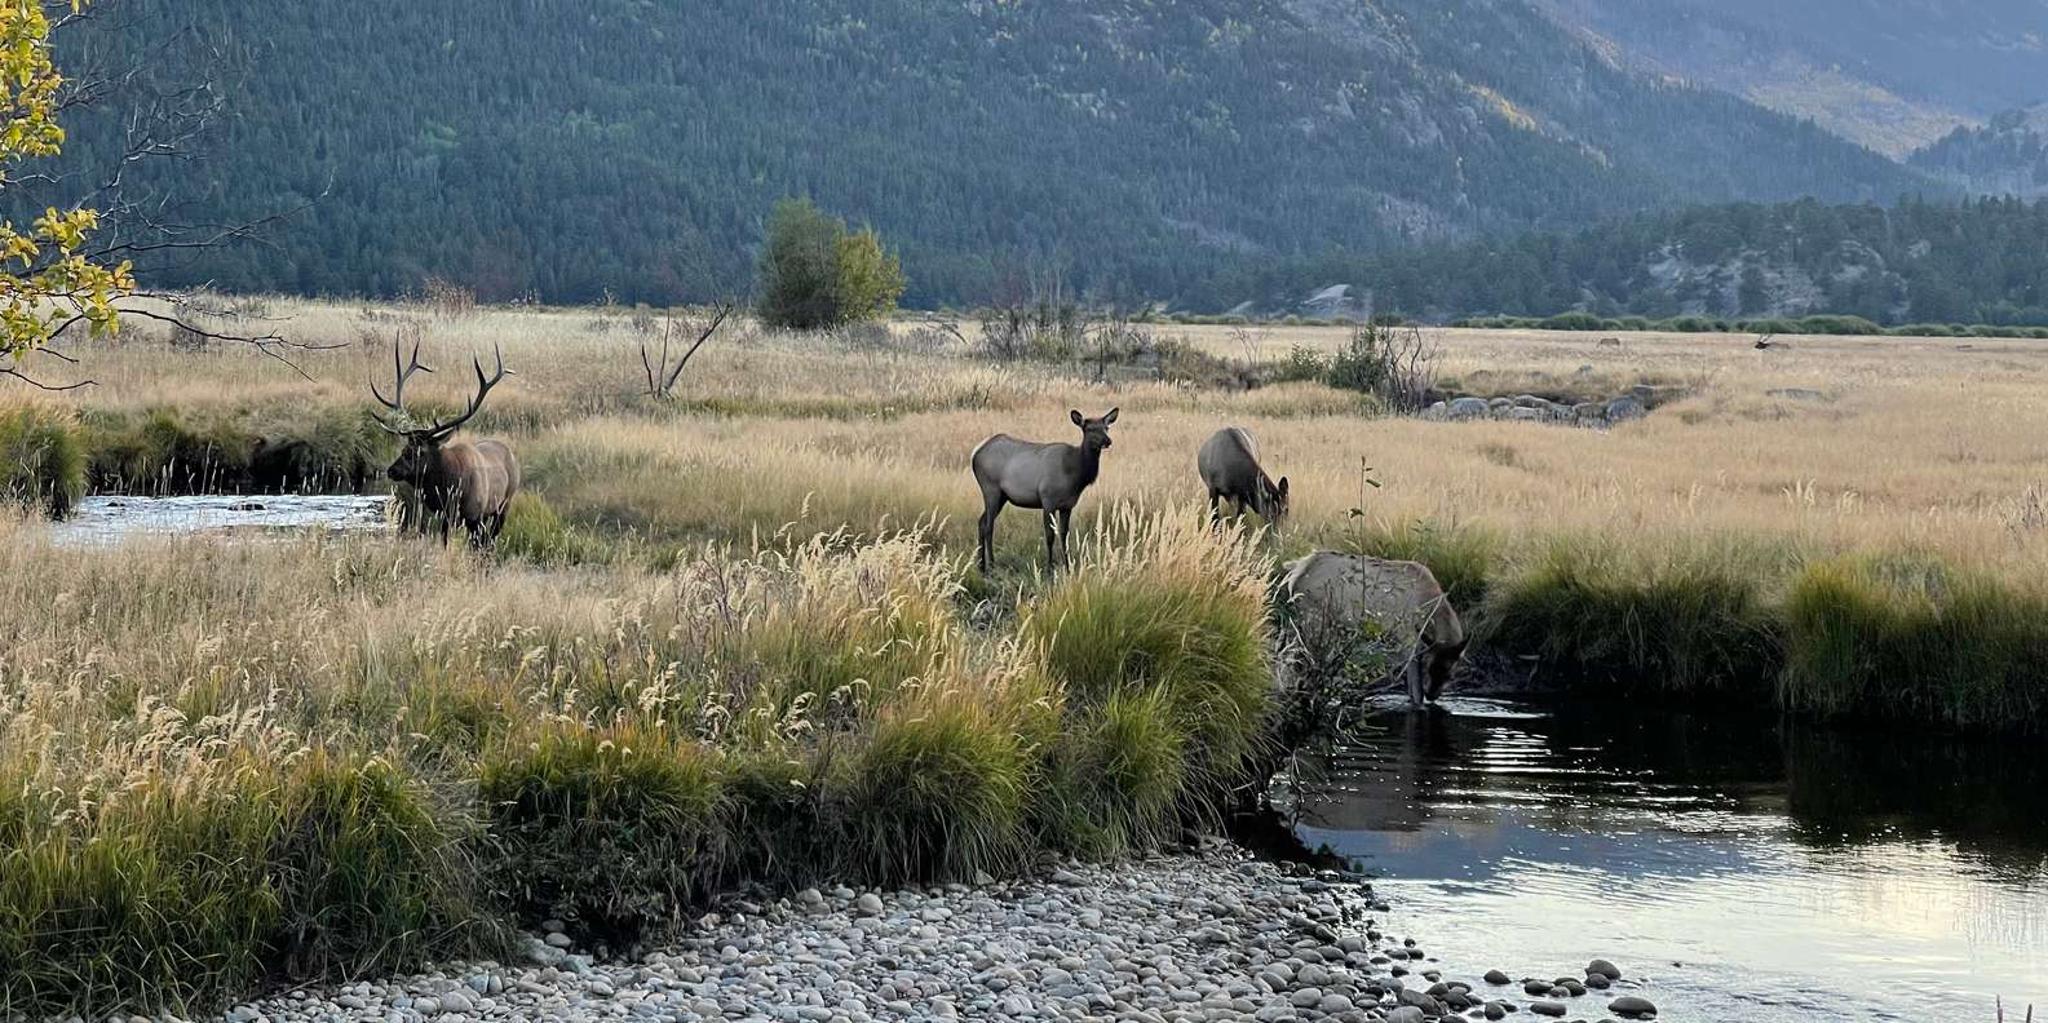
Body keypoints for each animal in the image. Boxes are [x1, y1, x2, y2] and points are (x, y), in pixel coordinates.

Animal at [371, 335, 521, 548]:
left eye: (420, 451)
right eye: (404, 448)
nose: (392, 470)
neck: (448, 486)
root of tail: (511, 454)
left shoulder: (474, 515)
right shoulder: (444, 516)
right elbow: (444, 542)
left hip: (504, 504)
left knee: (490, 539)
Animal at [971, 408, 1119, 574]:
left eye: (1106, 428)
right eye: (1089, 429)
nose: (1108, 441)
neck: (1076, 476)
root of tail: (975, 453)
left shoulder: (1067, 505)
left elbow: (1064, 535)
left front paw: (1068, 567)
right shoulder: (1048, 500)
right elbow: (1050, 535)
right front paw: (1049, 569)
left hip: (1002, 496)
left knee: (981, 522)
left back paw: (981, 565)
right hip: (991, 488)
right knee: (989, 526)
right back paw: (991, 566)